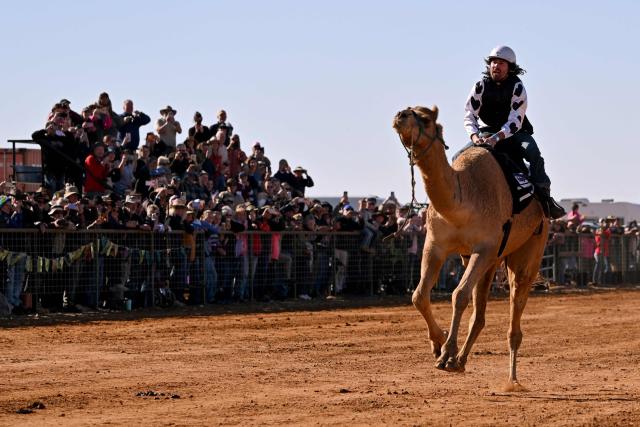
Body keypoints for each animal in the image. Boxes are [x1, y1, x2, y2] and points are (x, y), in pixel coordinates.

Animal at [392, 106, 549, 388]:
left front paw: (445, 354)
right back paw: (461, 361)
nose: (400, 115)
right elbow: (419, 295)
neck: (462, 200)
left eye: (425, 119)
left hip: (529, 250)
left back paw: (512, 380)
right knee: (480, 315)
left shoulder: (483, 248)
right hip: (491, 262)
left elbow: (459, 295)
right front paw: (439, 344)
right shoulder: (435, 245)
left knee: (515, 308)